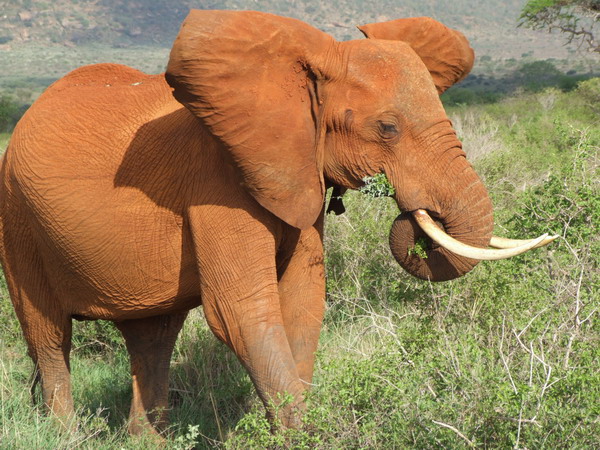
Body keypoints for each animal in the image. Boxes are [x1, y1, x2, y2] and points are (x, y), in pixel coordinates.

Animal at [0, 9, 556, 432]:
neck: (300, 74)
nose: (416, 225)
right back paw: (66, 434)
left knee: (151, 338)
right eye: (388, 128)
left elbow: (303, 303)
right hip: (16, 220)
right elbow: (241, 312)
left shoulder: (297, 169)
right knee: (49, 341)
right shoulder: (217, 179)